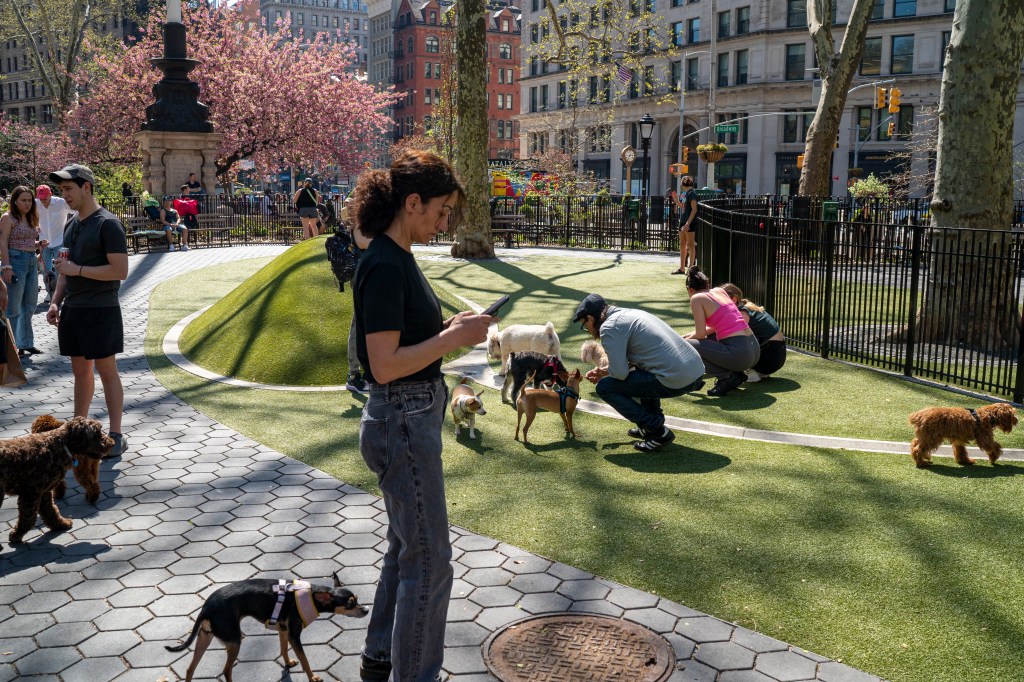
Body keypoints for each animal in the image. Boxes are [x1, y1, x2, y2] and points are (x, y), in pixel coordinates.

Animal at [167, 573, 372, 679]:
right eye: (350, 604)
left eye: (357, 600)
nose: (366, 610)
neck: (310, 595)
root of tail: (206, 608)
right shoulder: (294, 636)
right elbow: (305, 660)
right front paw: (312, 677)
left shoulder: (283, 630)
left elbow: (283, 649)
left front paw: (288, 663)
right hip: (234, 641)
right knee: (226, 670)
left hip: (205, 637)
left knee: (190, 669)